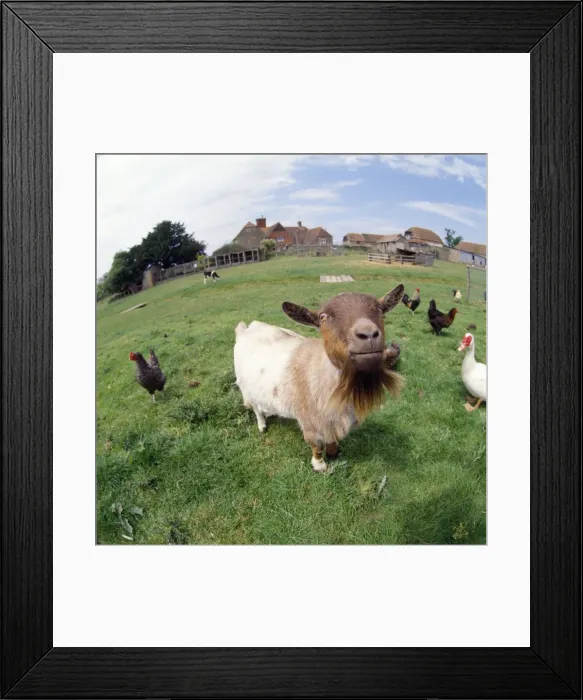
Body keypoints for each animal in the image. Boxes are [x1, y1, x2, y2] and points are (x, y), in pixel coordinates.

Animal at [234, 285, 405, 472]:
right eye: (323, 317)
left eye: (380, 309)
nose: (368, 334)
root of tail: (246, 328)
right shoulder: (310, 421)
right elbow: (316, 445)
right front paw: (320, 465)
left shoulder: (333, 421)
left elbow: (332, 440)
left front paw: (334, 453)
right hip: (246, 388)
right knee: (256, 408)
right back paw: (262, 425)